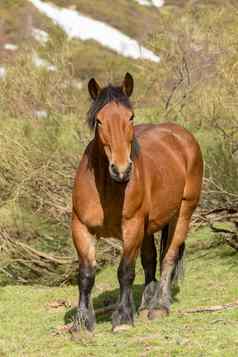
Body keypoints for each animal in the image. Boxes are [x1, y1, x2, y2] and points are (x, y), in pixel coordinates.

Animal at [71, 72, 203, 330]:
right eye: (99, 121)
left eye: (130, 117)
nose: (121, 170)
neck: (107, 188)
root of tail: (181, 136)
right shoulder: (81, 228)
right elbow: (86, 275)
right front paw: (82, 323)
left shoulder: (131, 227)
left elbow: (125, 271)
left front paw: (122, 317)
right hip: (148, 225)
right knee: (150, 260)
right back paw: (145, 303)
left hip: (183, 213)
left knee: (169, 257)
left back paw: (159, 305)